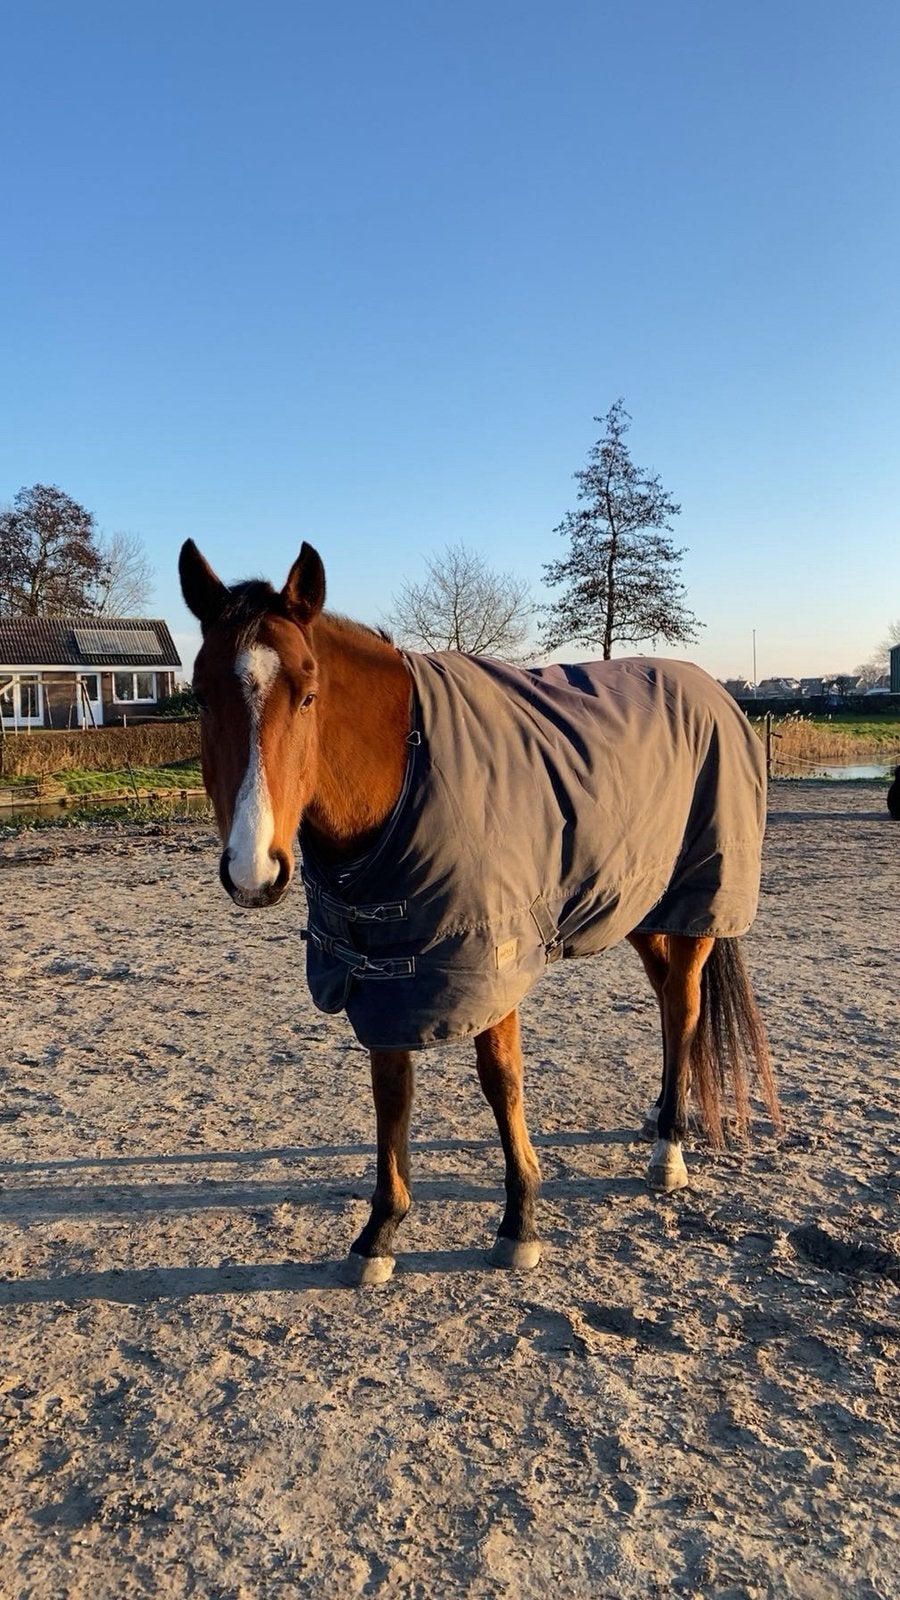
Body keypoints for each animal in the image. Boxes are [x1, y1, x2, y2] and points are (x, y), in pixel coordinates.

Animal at [179, 539, 781, 1284]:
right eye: (202, 697)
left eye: (309, 695)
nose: (252, 869)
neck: (406, 770)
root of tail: (716, 692)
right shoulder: (383, 966)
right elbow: (391, 1092)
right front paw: (379, 1231)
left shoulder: (492, 961)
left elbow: (501, 1083)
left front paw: (519, 1221)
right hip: (640, 906)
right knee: (671, 1002)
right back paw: (664, 1114)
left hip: (696, 904)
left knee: (687, 1004)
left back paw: (669, 1149)